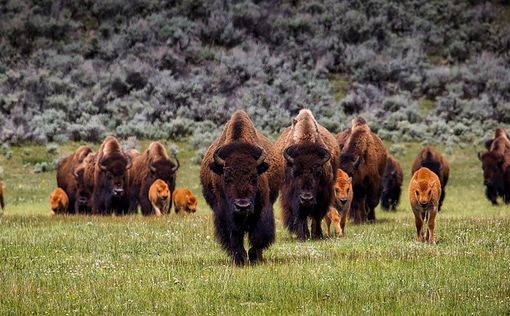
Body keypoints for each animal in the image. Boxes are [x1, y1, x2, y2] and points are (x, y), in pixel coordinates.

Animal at [199, 110, 280, 266]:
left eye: (254, 177)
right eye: (226, 177)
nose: (242, 206)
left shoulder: (262, 208)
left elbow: (258, 236)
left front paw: (253, 257)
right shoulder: (225, 213)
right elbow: (234, 236)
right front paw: (240, 259)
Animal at [274, 108, 338, 239]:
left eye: (318, 172)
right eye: (295, 172)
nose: (306, 198)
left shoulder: (323, 193)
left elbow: (317, 215)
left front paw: (318, 234)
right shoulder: (291, 195)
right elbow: (300, 216)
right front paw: (301, 236)